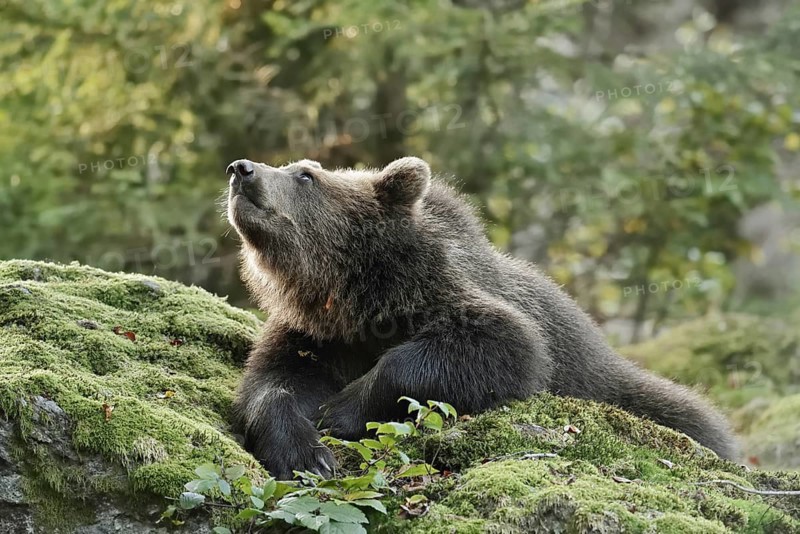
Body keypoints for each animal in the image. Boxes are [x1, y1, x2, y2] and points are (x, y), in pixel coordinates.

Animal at [224, 156, 737, 479]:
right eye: (294, 167)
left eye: (305, 175)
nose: (241, 169)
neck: (354, 295)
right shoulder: (314, 335)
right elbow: (273, 381)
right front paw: (304, 453)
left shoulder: (450, 299)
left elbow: (499, 346)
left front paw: (340, 409)